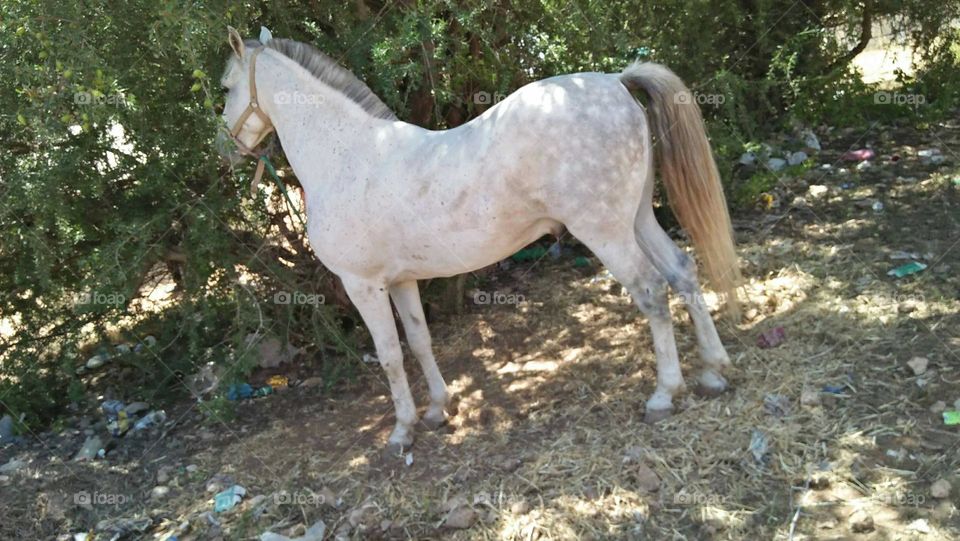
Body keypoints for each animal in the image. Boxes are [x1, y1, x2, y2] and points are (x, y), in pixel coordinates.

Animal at [219, 27, 744, 454]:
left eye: (225, 87)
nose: (226, 150)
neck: (349, 156)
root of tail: (615, 80)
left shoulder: (362, 284)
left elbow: (390, 357)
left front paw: (402, 430)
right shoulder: (402, 280)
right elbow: (420, 341)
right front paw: (438, 409)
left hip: (606, 232)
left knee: (653, 290)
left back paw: (664, 393)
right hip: (636, 219)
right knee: (682, 271)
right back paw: (713, 369)